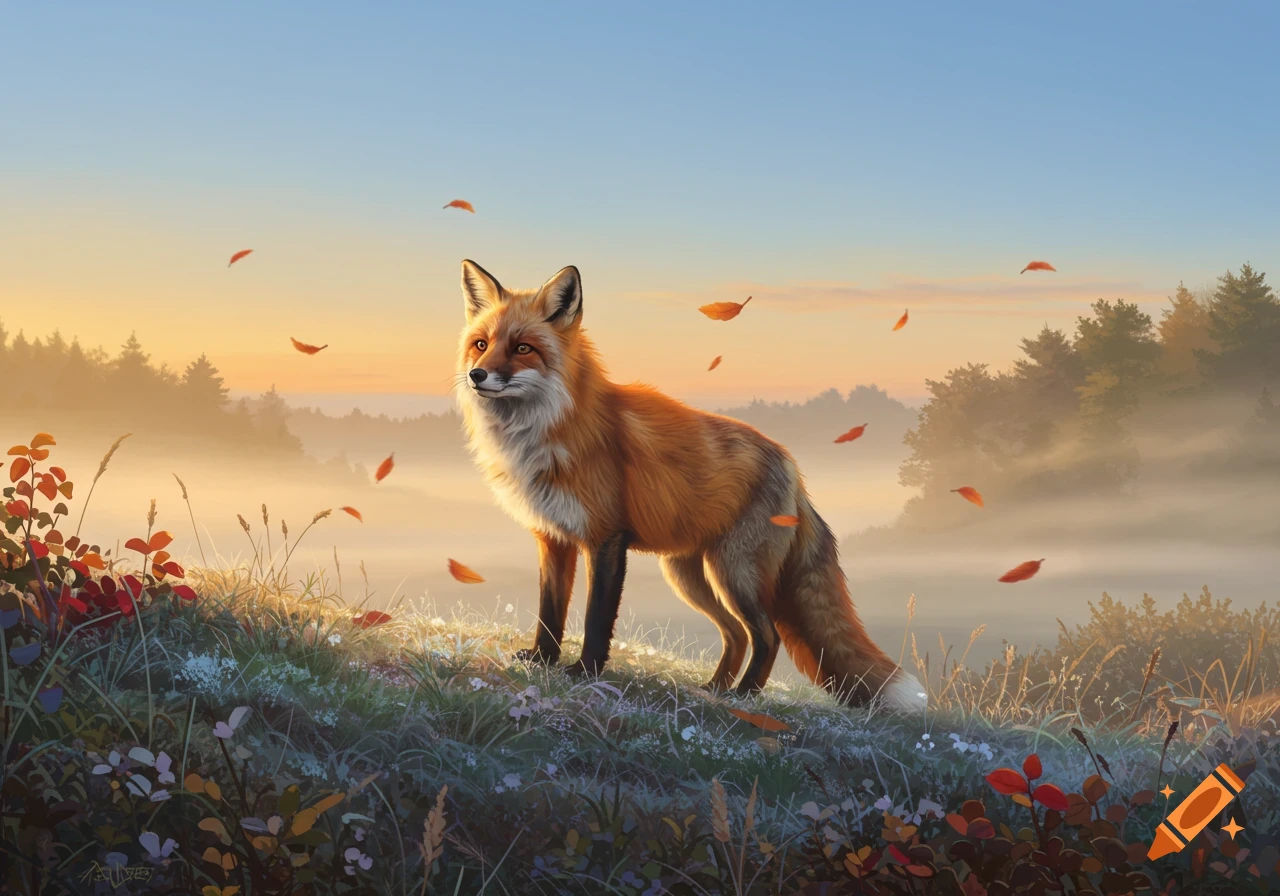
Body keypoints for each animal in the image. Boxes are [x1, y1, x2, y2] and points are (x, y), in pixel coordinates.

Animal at [454, 259, 927, 712]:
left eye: (522, 348)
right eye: (481, 344)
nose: (477, 375)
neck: (547, 432)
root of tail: (793, 469)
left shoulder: (606, 538)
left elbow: (595, 618)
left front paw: (585, 671)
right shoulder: (552, 537)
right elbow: (549, 611)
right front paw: (542, 660)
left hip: (734, 572)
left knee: (766, 635)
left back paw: (744, 696)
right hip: (690, 575)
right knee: (736, 634)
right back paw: (715, 688)